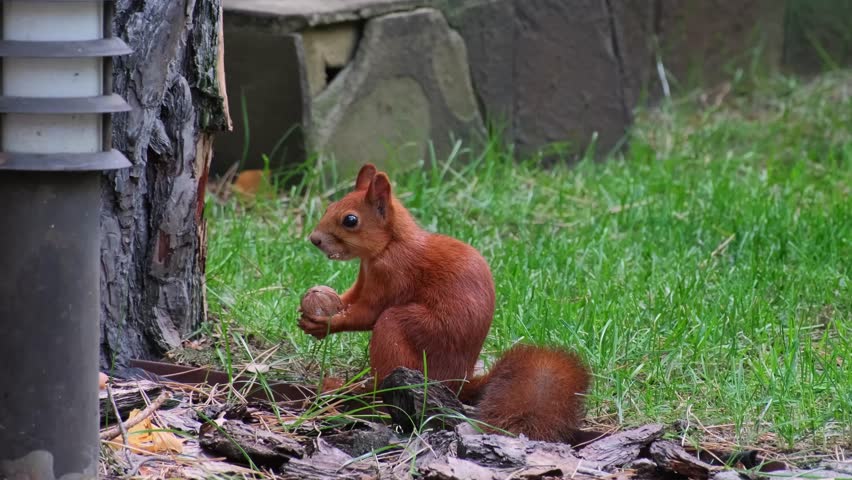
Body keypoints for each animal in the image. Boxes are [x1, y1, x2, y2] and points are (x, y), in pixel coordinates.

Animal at [298, 163, 591, 443]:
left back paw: (361, 391)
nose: (314, 239)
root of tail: (456, 383)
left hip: (410, 330)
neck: (390, 244)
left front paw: (323, 323)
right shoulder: (365, 276)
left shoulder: (393, 275)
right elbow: (349, 298)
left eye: (350, 220)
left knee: (388, 336)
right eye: (329, 206)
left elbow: (368, 313)